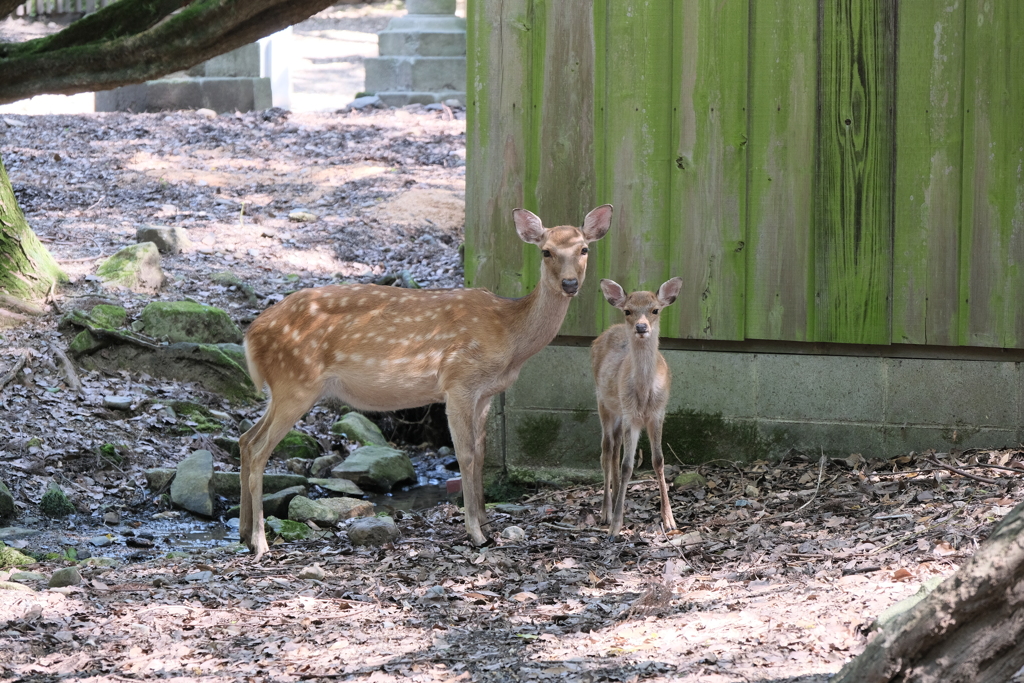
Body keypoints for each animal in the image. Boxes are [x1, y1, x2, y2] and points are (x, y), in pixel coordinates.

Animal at [235, 205, 610, 557]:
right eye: (546, 251)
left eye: (584, 249)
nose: (570, 284)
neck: (509, 335)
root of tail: (250, 335)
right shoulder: (459, 382)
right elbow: (465, 455)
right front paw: (475, 533)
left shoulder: (486, 393)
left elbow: (481, 453)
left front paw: (488, 524)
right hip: (296, 382)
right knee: (259, 449)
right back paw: (261, 543)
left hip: (283, 389)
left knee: (245, 439)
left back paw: (243, 534)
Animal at [593, 278, 679, 540]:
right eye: (628, 311)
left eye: (655, 310)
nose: (641, 327)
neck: (644, 396)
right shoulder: (631, 416)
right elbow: (627, 466)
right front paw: (615, 527)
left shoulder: (658, 413)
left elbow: (658, 460)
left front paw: (669, 520)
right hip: (603, 402)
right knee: (606, 450)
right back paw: (606, 511)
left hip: (619, 414)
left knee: (615, 449)